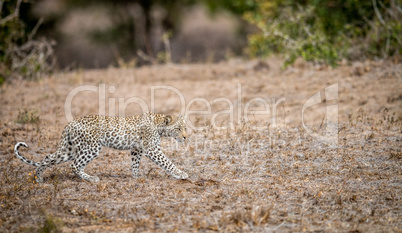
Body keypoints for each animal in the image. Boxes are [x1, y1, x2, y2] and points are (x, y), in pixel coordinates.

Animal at [12, 112, 188, 183]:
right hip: (91, 148)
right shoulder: (152, 149)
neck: (159, 125)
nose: (186, 137)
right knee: (74, 165)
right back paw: (91, 179)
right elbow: (167, 163)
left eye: (185, 127)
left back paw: (39, 178)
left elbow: (135, 163)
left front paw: (136, 176)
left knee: (48, 157)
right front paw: (181, 174)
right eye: (179, 129)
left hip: (69, 150)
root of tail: (69, 124)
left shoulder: (136, 149)